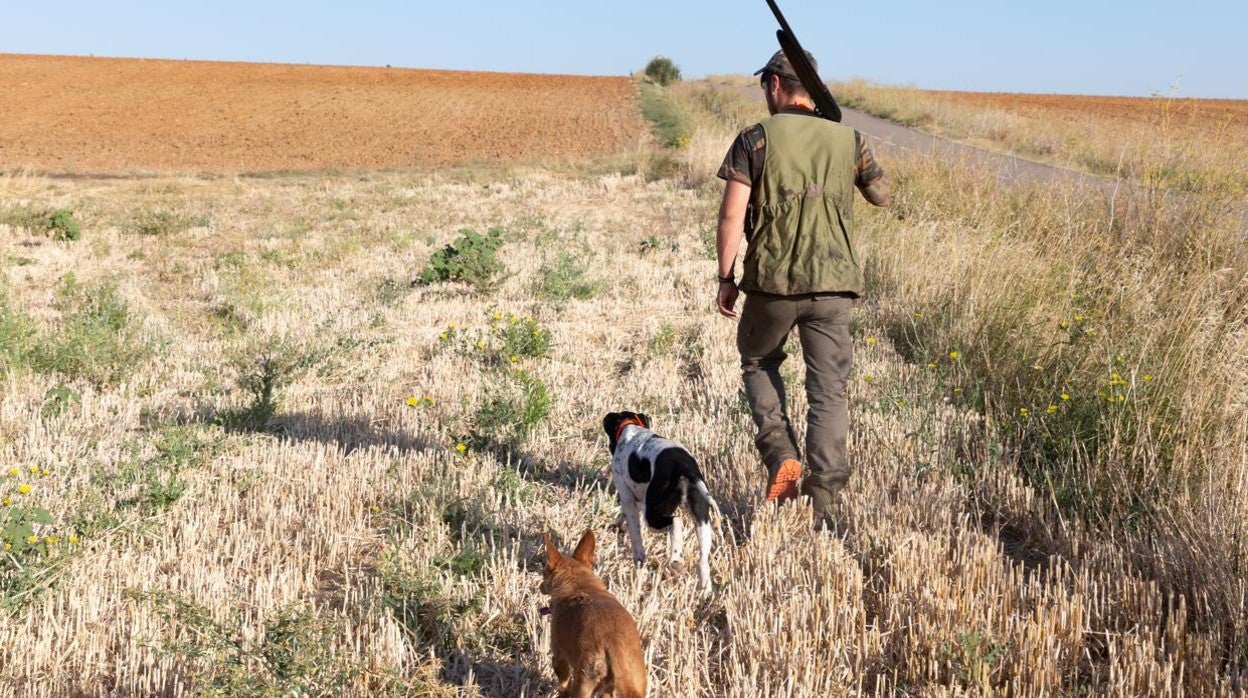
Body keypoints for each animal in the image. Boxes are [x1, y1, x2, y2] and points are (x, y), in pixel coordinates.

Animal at [541, 529, 648, 698]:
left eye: (544, 572)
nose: (540, 586)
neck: (580, 585)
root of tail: (614, 639)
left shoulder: (558, 656)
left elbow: (563, 683)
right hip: (632, 680)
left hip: (584, 684)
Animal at [601, 412, 718, 591]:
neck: (630, 426)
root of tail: (684, 466)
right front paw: (617, 525)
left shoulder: (627, 496)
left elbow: (635, 533)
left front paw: (638, 558)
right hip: (702, 520)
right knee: (703, 560)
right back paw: (705, 588)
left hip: (653, 516)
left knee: (676, 522)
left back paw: (676, 560)